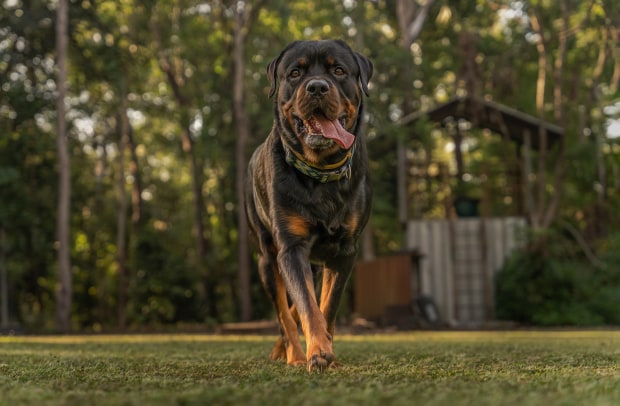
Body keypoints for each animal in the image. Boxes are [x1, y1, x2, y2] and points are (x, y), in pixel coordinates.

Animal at [245, 40, 373, 371]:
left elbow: (326, 306)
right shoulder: (291, 247)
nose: (316, 86)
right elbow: (305, 306)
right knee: (283, 313)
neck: (321, 173)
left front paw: (326, 348)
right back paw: (292, 355)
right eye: (295, 73)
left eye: (338, 70)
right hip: (267, 258)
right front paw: (316, 352)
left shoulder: (345, 250)